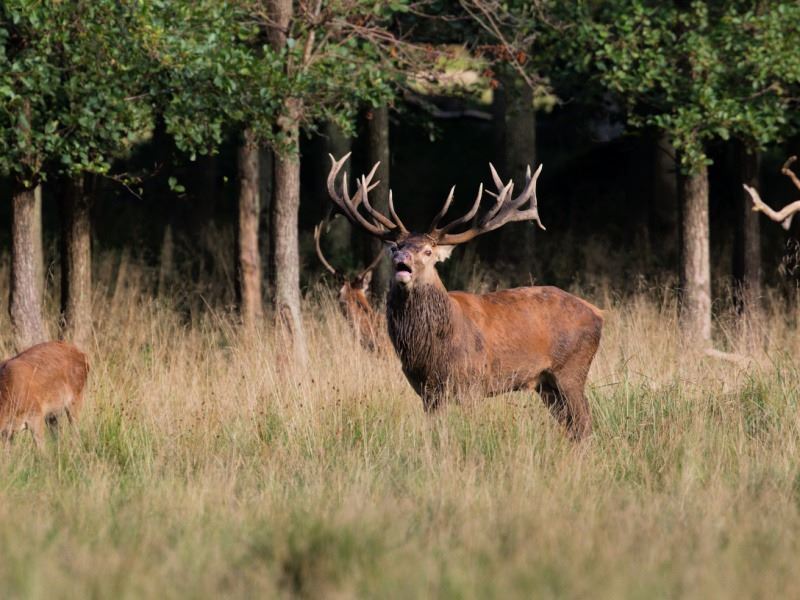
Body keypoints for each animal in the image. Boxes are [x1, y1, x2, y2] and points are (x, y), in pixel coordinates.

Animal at [325, 153, 603, 440]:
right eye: (396, 248)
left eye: (427, 251)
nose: (402, 259)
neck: (431, 351)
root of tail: (598, 313)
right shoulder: (427, 392)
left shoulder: (473, 384)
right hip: (545, 383)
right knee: (572, 426)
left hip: (571, 369)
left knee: (584, 423)